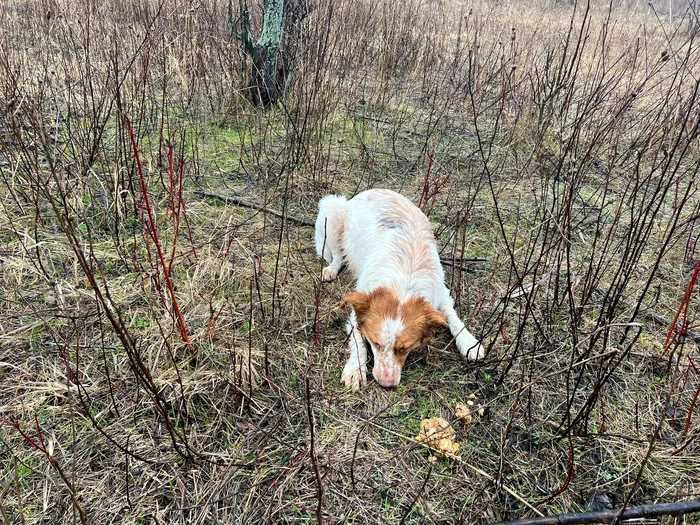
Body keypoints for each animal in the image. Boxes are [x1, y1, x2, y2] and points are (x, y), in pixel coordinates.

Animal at [314, 189, 484, 388]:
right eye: (376, 344)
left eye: (405, 349)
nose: (386, 383)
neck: (404, 282)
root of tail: (369, 191)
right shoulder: (357, 310)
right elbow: (358, 343)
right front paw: (355, 369)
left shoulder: (441, 292)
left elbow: (452, 317)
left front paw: (469, 342)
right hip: (332, 211)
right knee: (338, 255)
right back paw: (331, 270)